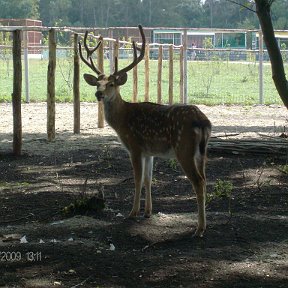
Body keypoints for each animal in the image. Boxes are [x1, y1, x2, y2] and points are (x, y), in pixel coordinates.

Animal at [79, 25, 212, 236]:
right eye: (98, 83)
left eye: (111, 84)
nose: (98, 93)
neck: (123, 120)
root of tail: (203, 121)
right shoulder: (150, 151)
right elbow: (149, 179)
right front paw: (148, 211)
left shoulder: (135, 146)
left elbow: (138, 179)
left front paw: (132, 212)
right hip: (202, 152)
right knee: (206, 179)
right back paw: (202, 224)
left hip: (184, 148)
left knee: (198, 181)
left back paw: (199, 229)